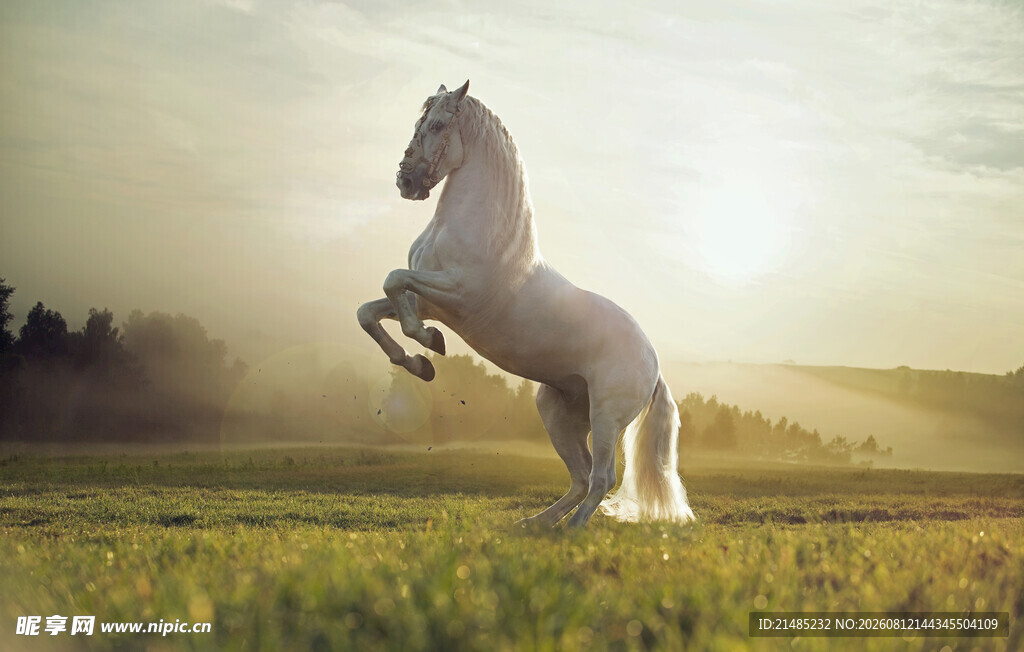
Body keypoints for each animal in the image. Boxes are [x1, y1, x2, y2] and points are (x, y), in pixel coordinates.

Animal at [357, 80, 695, 528]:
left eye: (438, 124)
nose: (406, 181)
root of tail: (652, 363)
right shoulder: (428, 301)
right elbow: (370, 310)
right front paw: (418, 363)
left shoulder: (456, 294)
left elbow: (394, 281)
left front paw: (429, 344)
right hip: (557, 412)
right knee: (581, 477)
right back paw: (533, 525)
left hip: (606, 417)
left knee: (601, 477)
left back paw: (570, 531)